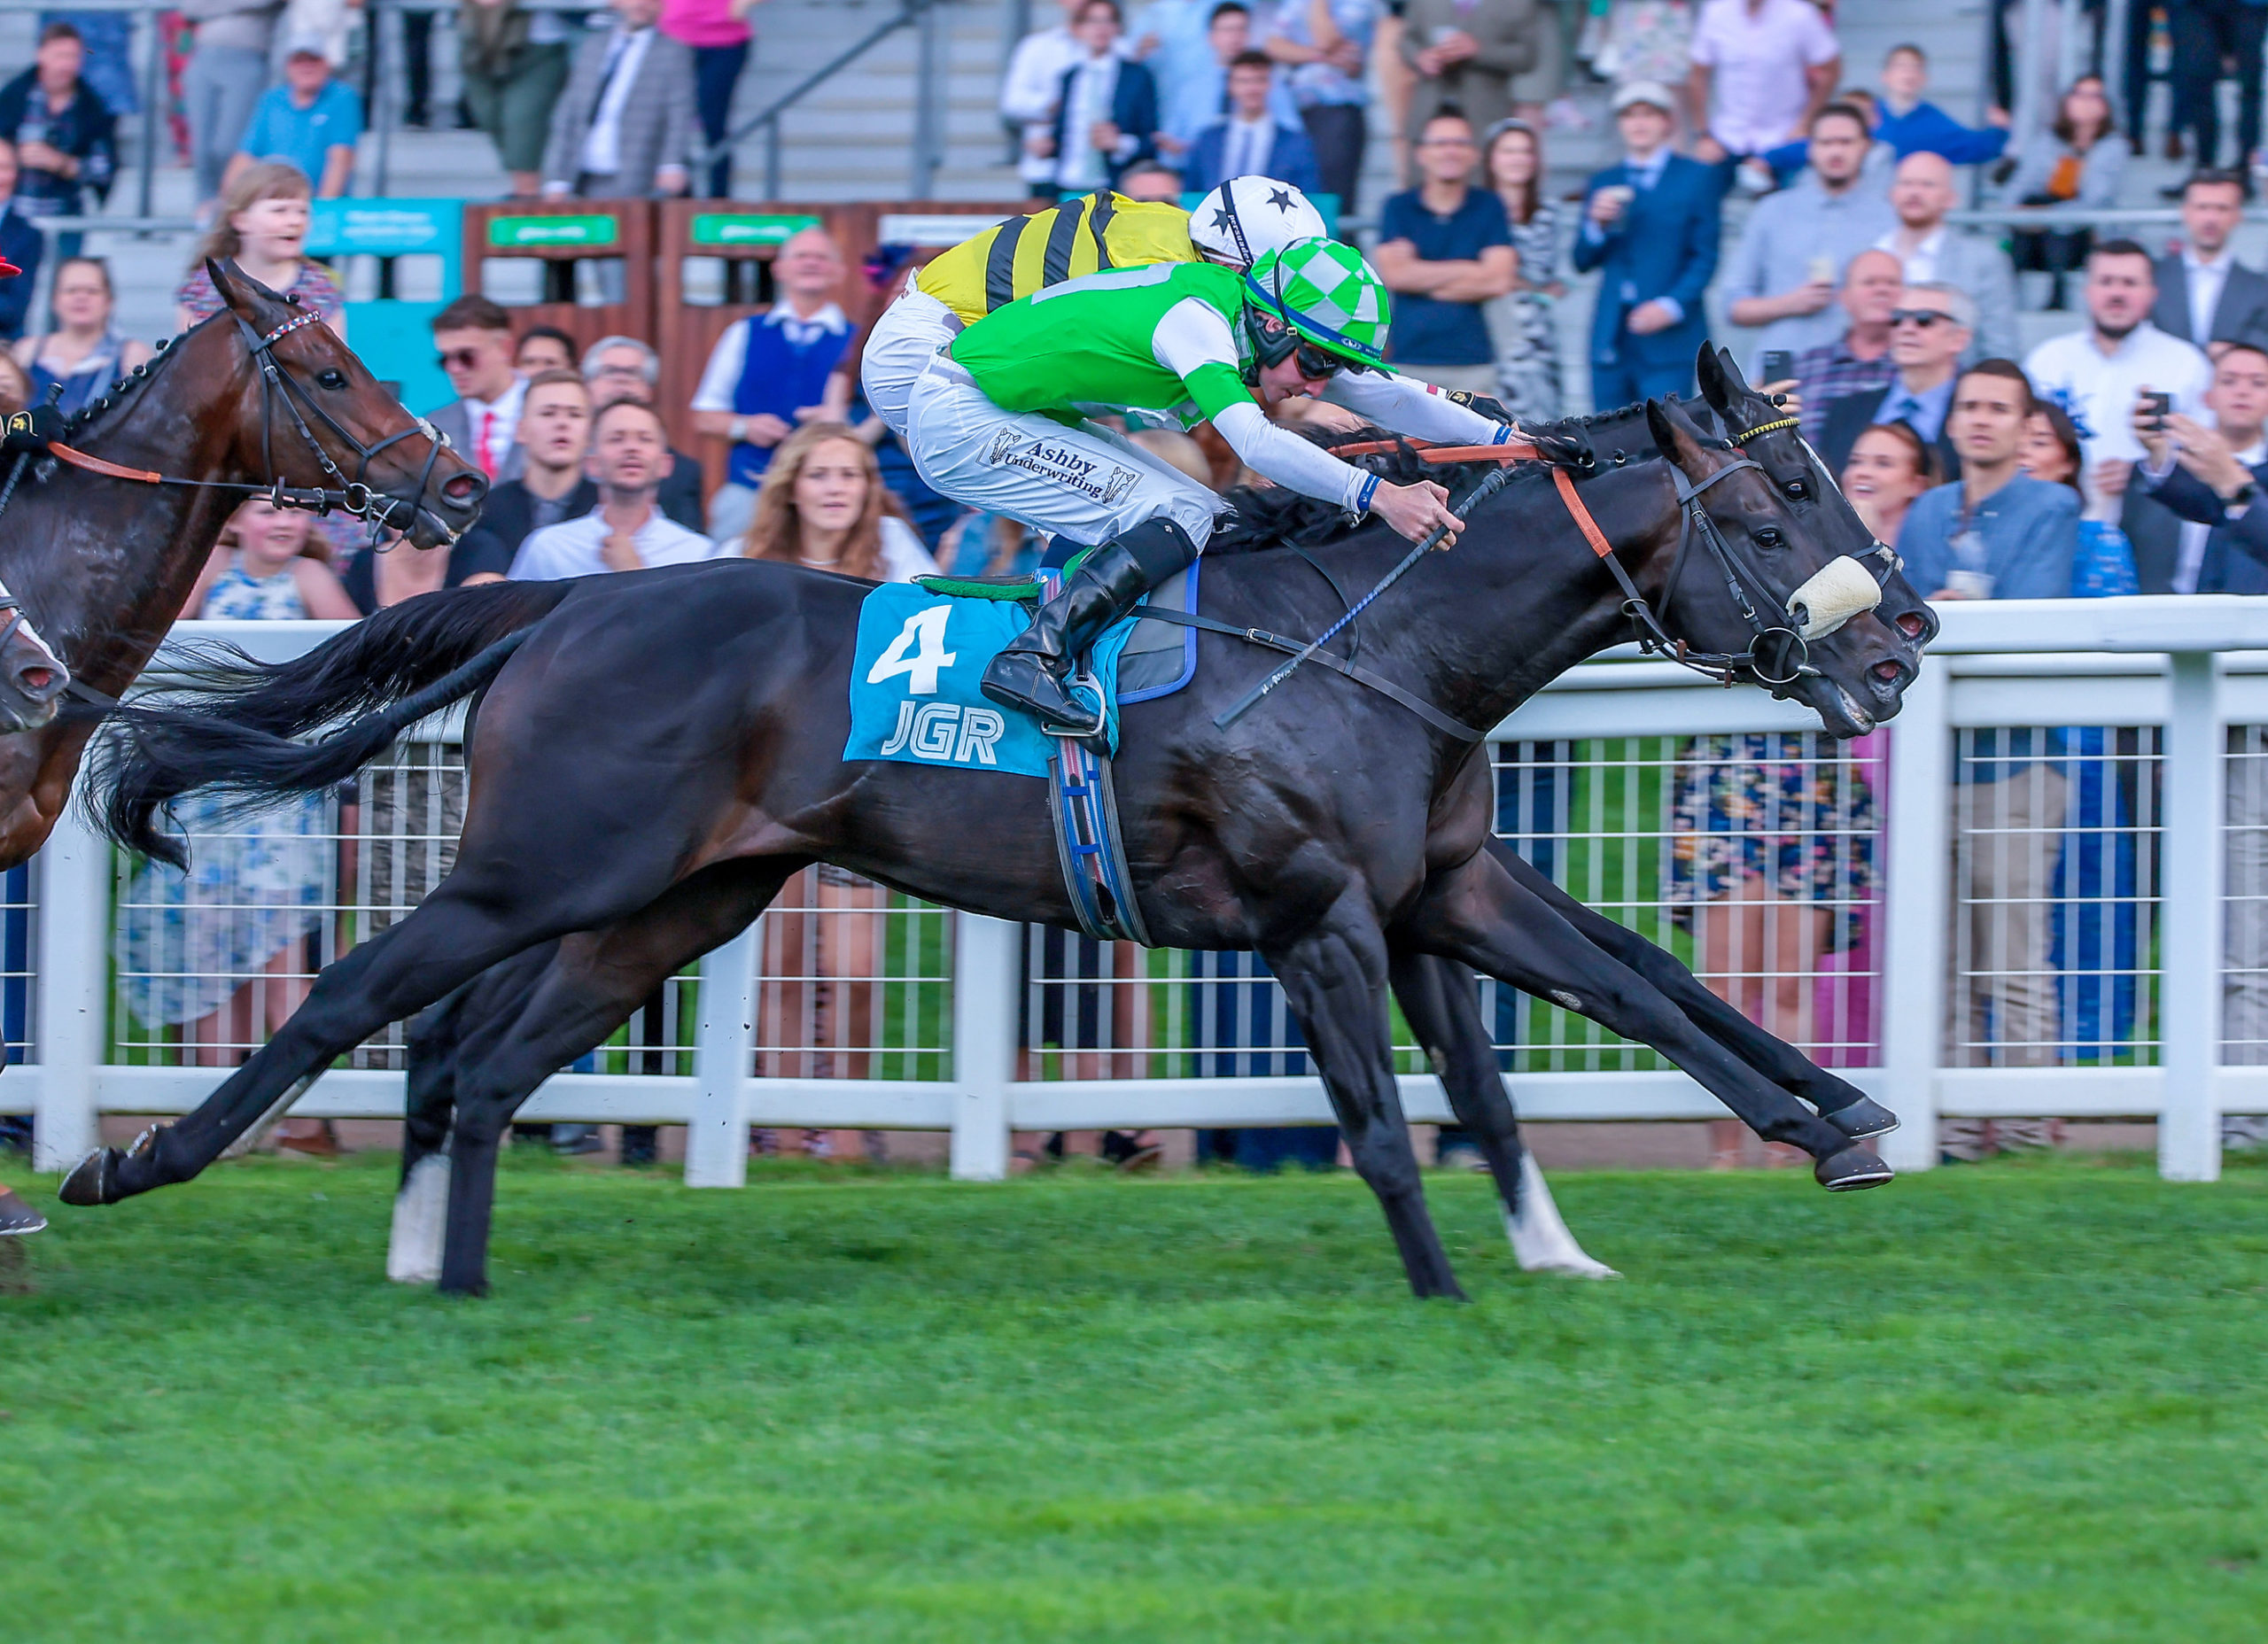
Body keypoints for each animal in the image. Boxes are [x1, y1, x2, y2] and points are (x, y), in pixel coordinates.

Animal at [75, 353, 1932, 1306]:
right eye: (1785, 500)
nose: (1903, 645)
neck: (1384, 642)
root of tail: (562, 601)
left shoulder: (1445, 889)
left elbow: (1626, 995)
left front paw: (1824, 1123)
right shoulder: (1316, 912)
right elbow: (1389, 1120)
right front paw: (1448, 1292)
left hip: (673, 901)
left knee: (479, 1060)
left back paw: (446, 1277)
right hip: (542, 868)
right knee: (362, 1006)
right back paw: (129, 1165)